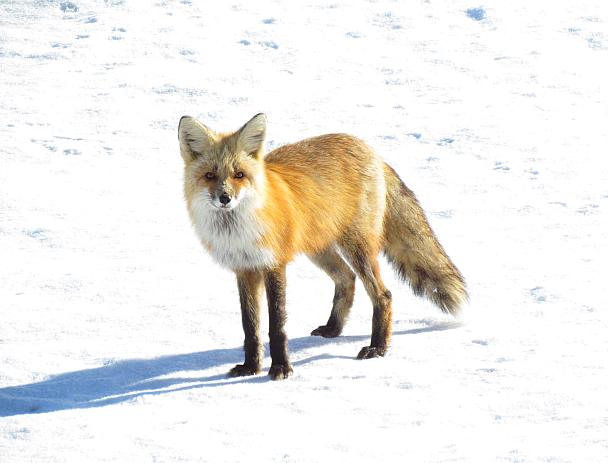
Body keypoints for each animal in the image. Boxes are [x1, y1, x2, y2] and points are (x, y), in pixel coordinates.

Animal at [178, 113, 468, 380]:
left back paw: (377, 348)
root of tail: (370, 150)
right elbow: (250, 327)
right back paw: (333, 329)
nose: (225, 198)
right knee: (347, 279)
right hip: (320, 249)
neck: (238, 231)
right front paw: (250, 367)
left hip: (357, 247)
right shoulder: (244, 270)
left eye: (239, 175)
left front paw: (281, 368)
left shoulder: (274, 265)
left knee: (382, 294)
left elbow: (276, 326)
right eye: (210, 175)